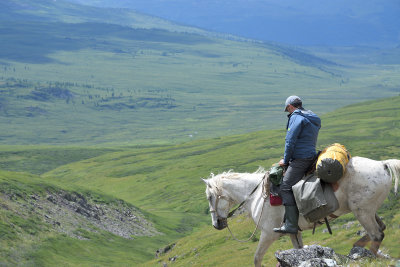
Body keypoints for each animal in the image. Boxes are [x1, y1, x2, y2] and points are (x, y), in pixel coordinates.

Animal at [203, 157, 400, 267]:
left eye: (210, 197)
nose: (216, 224)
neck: (257, 195)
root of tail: (382, 164)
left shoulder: (268, 234)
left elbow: (257, 258)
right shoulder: (294, 232)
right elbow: (298, 251)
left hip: (362, 212)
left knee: (376, 235)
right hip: (367, 210)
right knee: (380, 229)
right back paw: (358, 246)